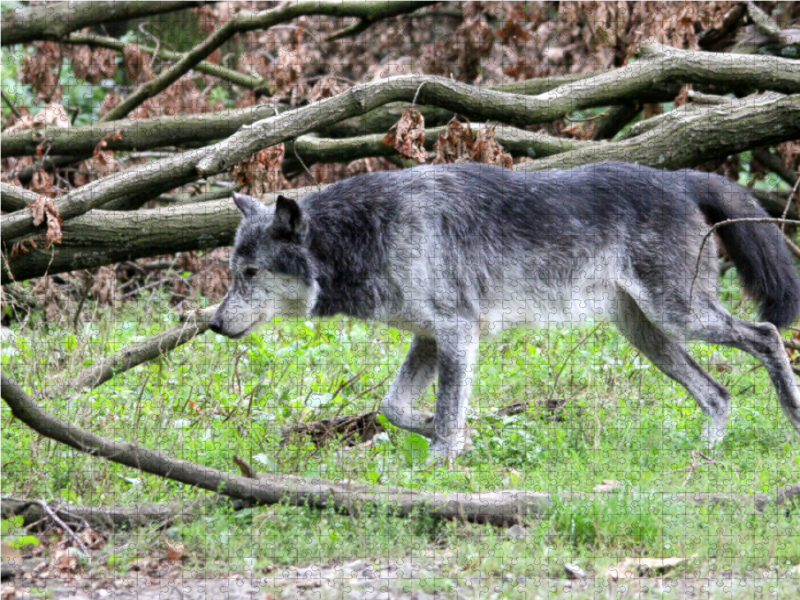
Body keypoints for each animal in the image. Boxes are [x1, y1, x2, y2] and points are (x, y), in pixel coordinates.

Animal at [208, 162, 800, 462]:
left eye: (250, 274)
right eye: (235, 272)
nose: (213, 323)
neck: (365, 233)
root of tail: (681, 176)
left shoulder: (457, 335)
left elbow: (445, 412)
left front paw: (442, 463)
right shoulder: (430, 338)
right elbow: (394, 409)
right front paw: (454, 437)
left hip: (682, 317)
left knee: (767, 335)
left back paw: (790, 418)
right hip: (647, 334)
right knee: (718, 392)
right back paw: (705, 453)